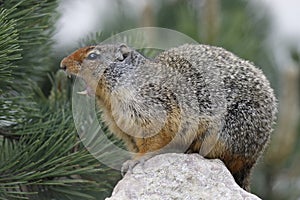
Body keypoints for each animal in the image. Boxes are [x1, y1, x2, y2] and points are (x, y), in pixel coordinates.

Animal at [60, 43, 276, 191]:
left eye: (92, 56)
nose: (62, 65)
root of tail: (253, 159)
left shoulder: (150, 107)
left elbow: (155, 136)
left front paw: (136, 160)